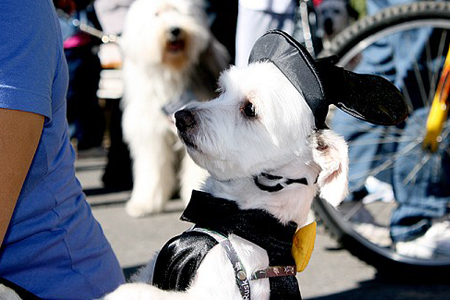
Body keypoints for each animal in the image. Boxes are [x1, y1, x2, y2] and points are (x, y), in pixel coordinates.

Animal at [119, 0, 229, 217]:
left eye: (180, 11)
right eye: (157, 14)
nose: (175, 30)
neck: (172, 72)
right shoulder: (150, 133)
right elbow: (151, 166)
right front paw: (144, 203)